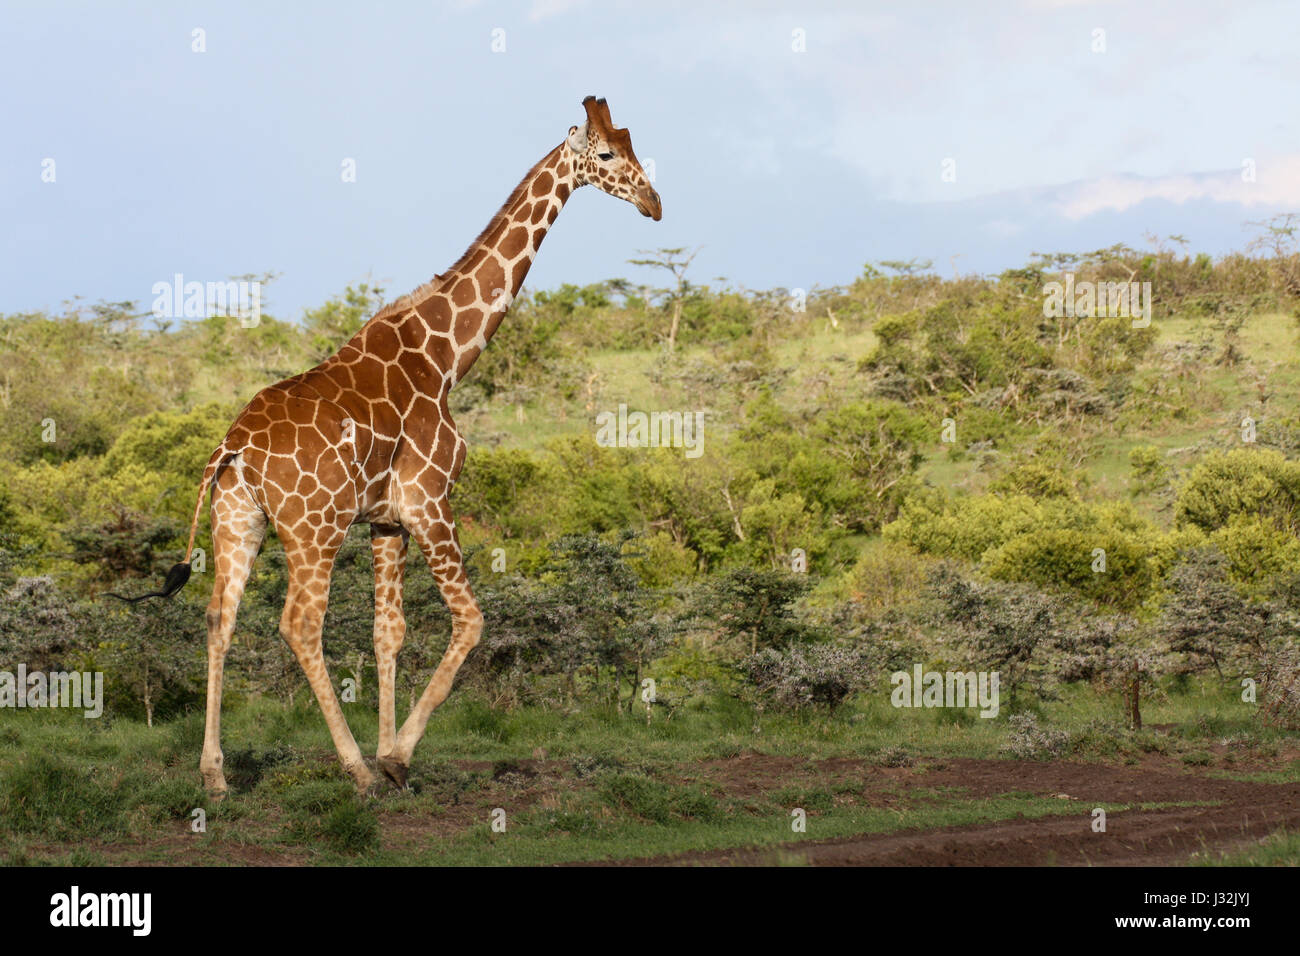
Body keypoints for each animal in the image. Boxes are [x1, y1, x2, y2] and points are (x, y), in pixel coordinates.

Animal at [122, 95, 660, 790]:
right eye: (608, 154)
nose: (653, 202)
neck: (447, 355)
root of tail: (232, 448)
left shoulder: (385, 518)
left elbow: (389, 633)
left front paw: (389, 752)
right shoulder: (429, 500)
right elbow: (471, 621)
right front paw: (395, 759)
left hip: (238, 521)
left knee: (220, 618)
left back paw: (215, 775)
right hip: (314, 527)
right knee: (300, 625)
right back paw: (353, 768)